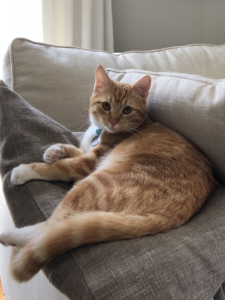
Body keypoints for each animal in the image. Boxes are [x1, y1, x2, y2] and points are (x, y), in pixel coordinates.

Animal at [0, 65, 218, 282]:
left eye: (127, 110)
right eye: (106, 106)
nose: (113, 121)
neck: (100, 131)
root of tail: (176, 214)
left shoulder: (90, 162)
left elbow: (60, 167)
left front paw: (25, 169)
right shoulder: (86, 151)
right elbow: (72, 148)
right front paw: (53, 151)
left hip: (93, 183)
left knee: (50, 229)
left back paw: (9, 235)